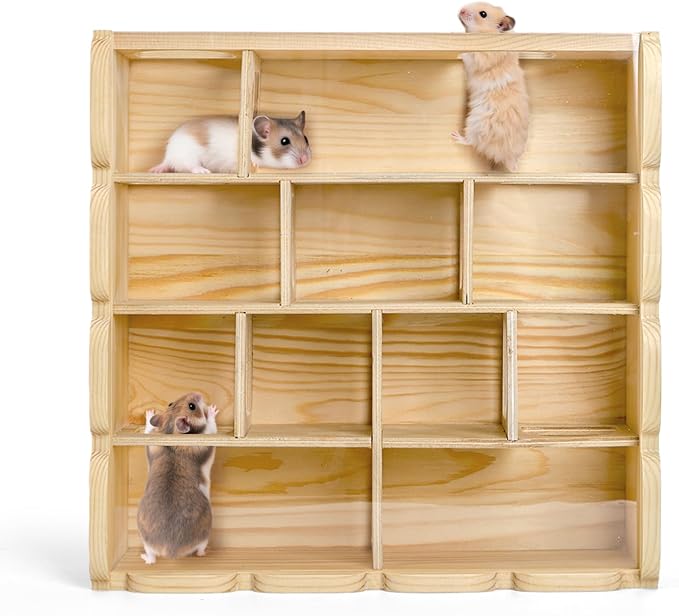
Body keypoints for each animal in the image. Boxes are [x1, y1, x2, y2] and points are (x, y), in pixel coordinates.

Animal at [137, 392, 220, 564]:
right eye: (192, 406)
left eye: (170, 403)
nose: (198, 393)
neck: (171, 432)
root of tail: (171, 551)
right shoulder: (206, 439)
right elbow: (210, 426)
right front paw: (212, 409)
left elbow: (149, 430)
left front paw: (150, 413)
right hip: (205, 533)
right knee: (199, 550)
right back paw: (204, 552)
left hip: (145, 538)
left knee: (152, 557)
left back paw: (144, 557)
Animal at [149, 111, 312, 174]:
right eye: (284, 141)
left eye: (306, 138)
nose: (305, 160)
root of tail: (168, 156)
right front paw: (255, 165)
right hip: (188, 155)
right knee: (188, 166)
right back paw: (203, 170)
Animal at [452, 3, 529, 172]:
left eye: (483, 14)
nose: (461, 9)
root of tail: (511, 159)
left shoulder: (481, 57)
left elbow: (467, 55)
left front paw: (458, 52)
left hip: (476, 124)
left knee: (472, 142)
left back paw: (455, 136)